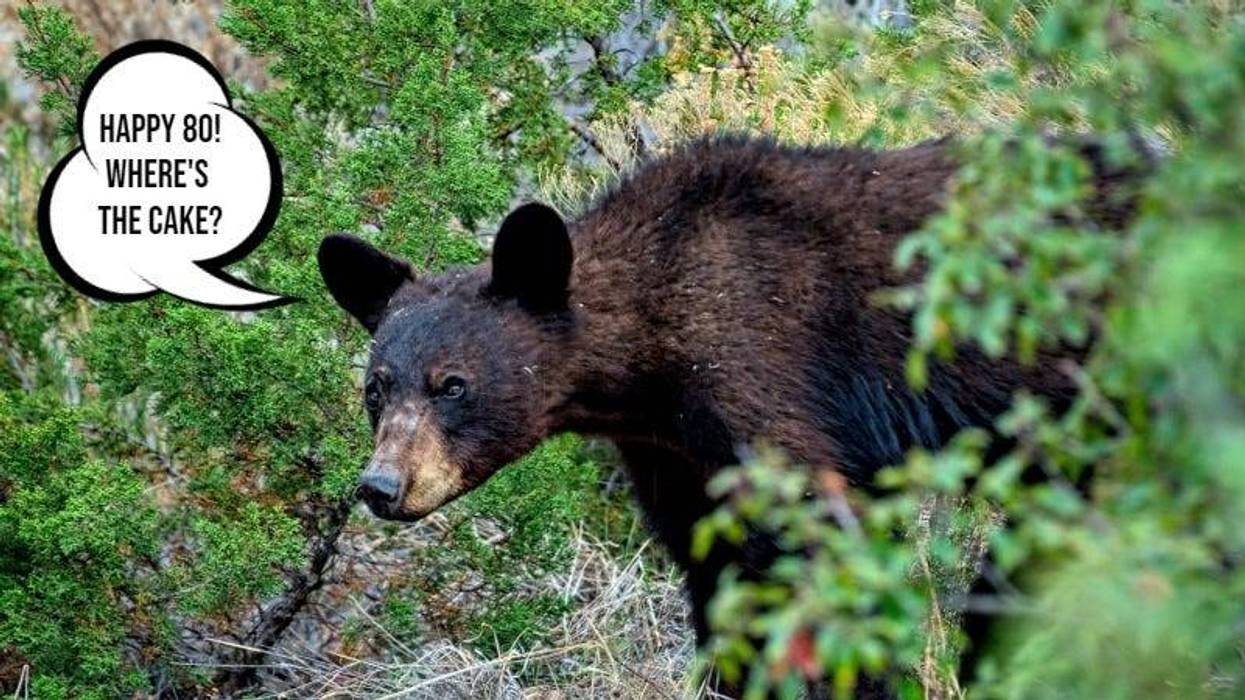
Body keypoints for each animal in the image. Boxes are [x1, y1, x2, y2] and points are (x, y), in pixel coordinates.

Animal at [318, 135, 1138, 696]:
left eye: (453, 385)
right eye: (377, 388)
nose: (382, 486)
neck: (652, 353)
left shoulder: (765, 376)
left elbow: (817, 538)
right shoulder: (671, 456)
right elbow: (715, 569)